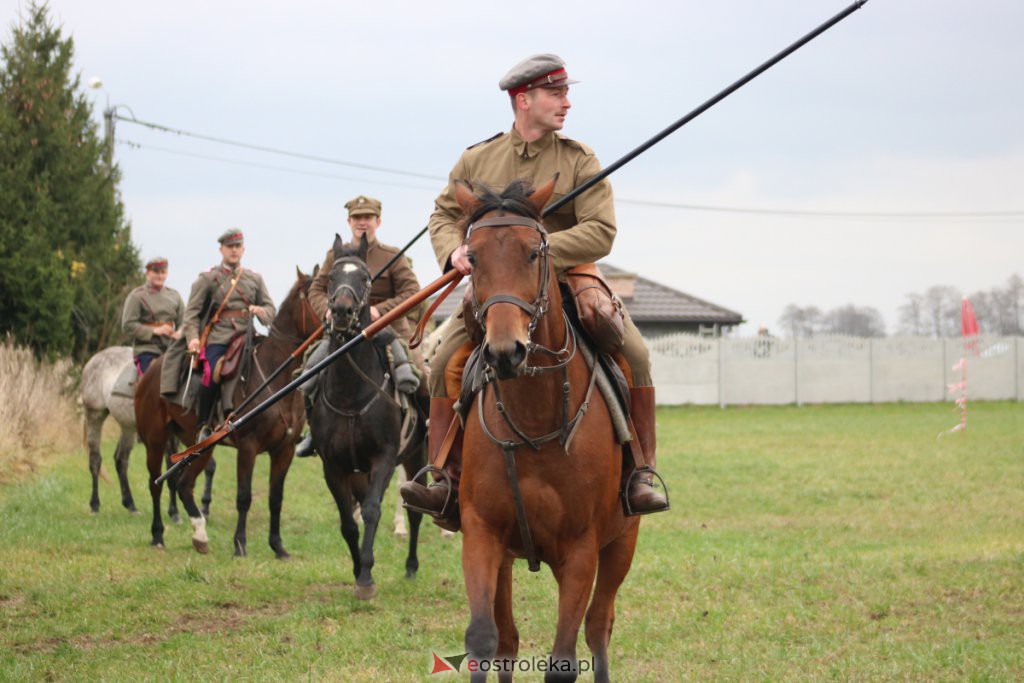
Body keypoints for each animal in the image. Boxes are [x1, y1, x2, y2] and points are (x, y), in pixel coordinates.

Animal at [134, 266, 315, 557]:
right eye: (319, 292)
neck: (276, 374)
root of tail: (150, 372)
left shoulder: (284, 450)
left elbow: (276, 499)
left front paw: (278, 546)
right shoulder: (248, 447)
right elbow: (244, 497)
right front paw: (240, 543)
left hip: (198, 446)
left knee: (184, 484)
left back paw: (199, 533)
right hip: (155, 440)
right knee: (156, 483)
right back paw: (159, 534)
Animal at [309, 233, 425, 598]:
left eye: (365, 277)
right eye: (332, 276)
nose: (341, 311)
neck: (350, 392)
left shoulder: (384, 457)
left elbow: (373, 509)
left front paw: (366, 578)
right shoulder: (333, 466)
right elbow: (348, 522)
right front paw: (358, 566)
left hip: (416, 457)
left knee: (415, 513)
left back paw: (411, 566)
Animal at [452, 179, 634, 679]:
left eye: (534, 253)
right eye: (472, 257)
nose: (504, 352)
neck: (534, 422)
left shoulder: (581, 550)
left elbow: (564, 658)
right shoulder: (482, 535)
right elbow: (484, 639)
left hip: (621, 543)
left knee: (599, 625)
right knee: (509, 639)